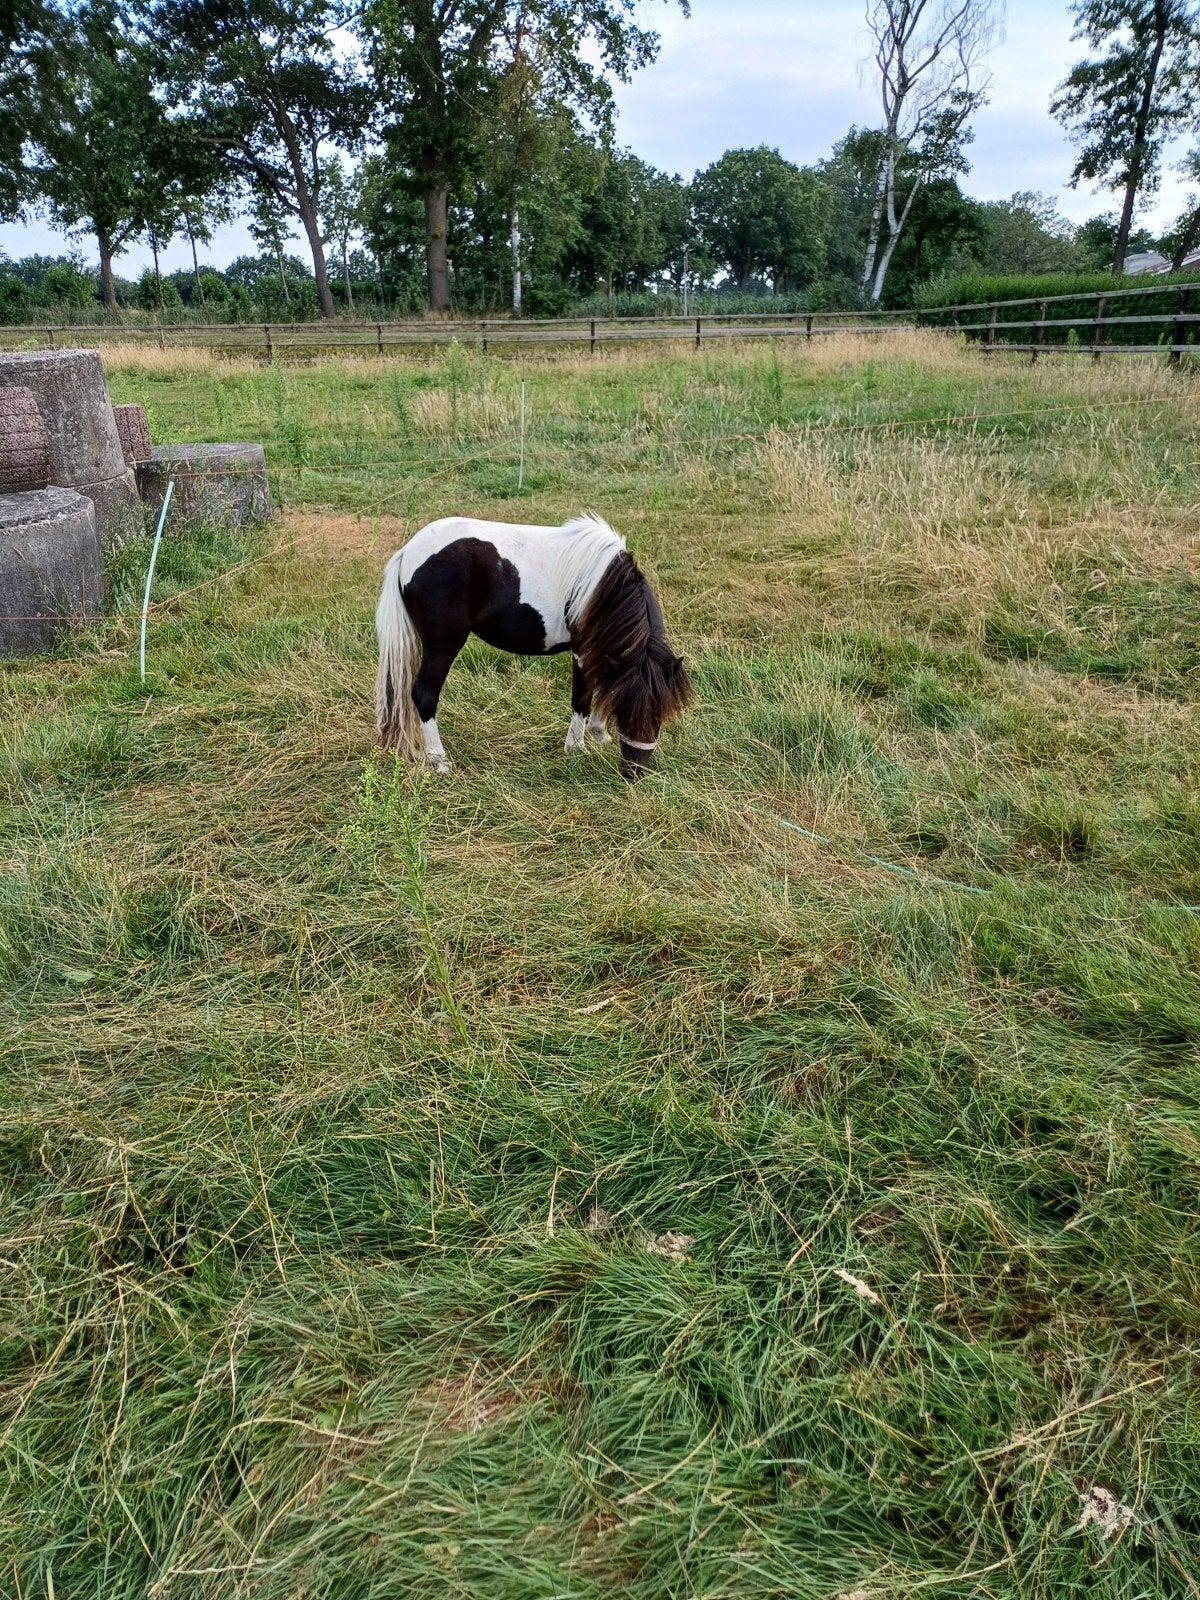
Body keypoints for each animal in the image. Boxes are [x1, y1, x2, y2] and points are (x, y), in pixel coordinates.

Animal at [374, 512, 690, 780]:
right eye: (630, 712)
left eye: (660, 714)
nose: (634, 773)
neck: (602, 587)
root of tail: (407, 553)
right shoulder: (582, 651)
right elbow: (582, 698)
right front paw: (576, 749)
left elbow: (606, 686)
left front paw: (600, 733)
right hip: (444, 644)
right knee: (424, 694)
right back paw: (439, 761)